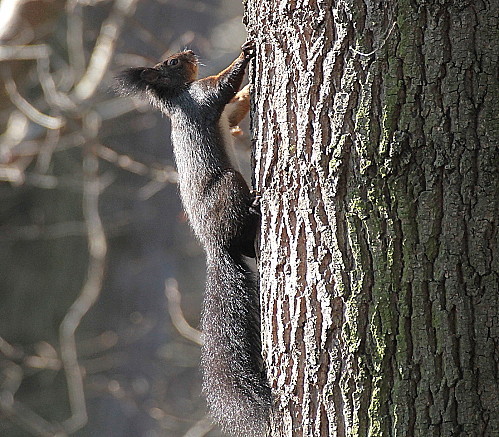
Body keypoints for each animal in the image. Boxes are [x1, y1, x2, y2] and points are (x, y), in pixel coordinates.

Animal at [115, 40, 272, 432]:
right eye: (172, 63)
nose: (187, 52)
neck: (176, 98)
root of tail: (214, 245)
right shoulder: (201, 97)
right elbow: (222, 87)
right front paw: (245, 54)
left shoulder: (220, 113)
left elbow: (233, 110)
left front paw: (251, 89)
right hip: (228, 187)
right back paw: (255, 206)